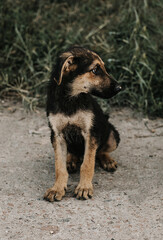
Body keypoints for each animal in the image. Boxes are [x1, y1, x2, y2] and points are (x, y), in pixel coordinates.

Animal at [44, 46, 121, 202]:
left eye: (103, 67)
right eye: (95, 69)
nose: (120, 87)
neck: (70, 99)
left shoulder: (90, 133)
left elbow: (87, 164)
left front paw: (84, 187)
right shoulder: (57, 135)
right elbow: (59, 167)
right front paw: (57, 188)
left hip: (112, 135)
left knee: (100, 151)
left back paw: (107, 161)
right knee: (73, 153)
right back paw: (70, 160)